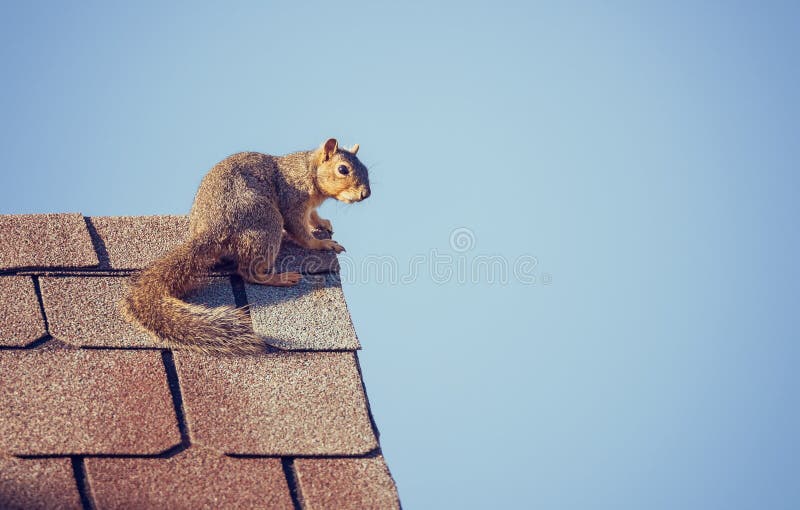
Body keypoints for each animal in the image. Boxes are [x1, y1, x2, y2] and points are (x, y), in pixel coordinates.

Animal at [120, 138, 370, 354]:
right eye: (343, 169)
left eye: (366, 169)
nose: (365, 194)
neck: (308, 170)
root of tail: (213, 229)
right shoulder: (292, 200)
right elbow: (300, 231)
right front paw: (322, 243)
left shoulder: (308, 207)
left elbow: (313, 216)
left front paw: (323, 223)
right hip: (267, 222)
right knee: (249, 272)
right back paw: (278, 278)